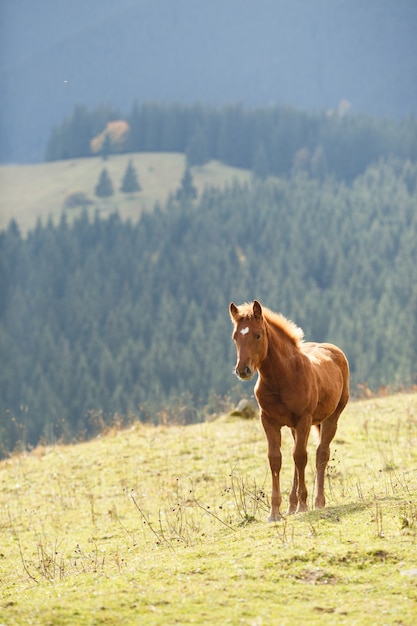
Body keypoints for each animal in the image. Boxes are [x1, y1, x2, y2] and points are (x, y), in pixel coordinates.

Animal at [229, 300, 350, 520]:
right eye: (235, 337)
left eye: (257, 335)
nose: (243, 370)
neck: (283, 378)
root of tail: (334, 350)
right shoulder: (268, 421)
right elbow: (275, 459)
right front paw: (275, 512)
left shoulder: (304, 419)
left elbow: (301, 457)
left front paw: (303, 505)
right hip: (295, 427)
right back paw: (292, 505)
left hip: (330, 418)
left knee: (321, 453)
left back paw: (318, 502)